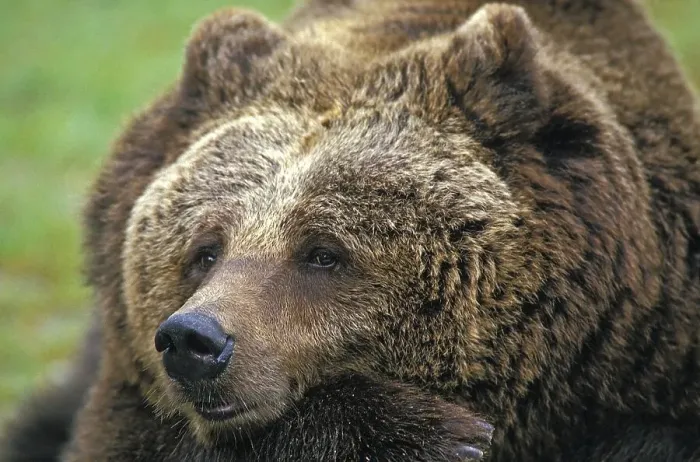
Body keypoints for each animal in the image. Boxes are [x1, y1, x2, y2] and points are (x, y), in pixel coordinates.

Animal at [3, 0, 700, 460]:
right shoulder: (128, 398)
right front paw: (436, 437)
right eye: (205, 249)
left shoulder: (644, 369)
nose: (193, 339)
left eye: (323, 252)